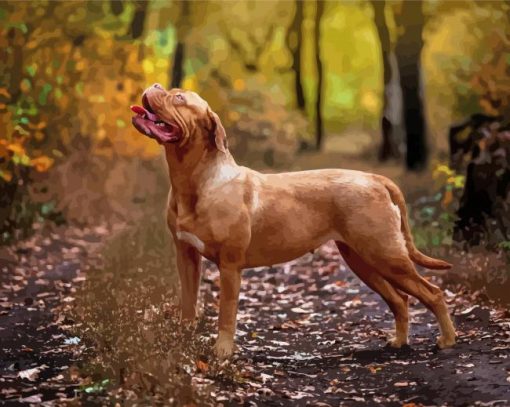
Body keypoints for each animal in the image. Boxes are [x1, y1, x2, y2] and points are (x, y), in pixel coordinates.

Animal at [129, 84, 456, 358]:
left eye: (179, 98)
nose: (155, 85)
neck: (195, 181)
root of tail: (376, 178)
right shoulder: (186, 256)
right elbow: (188, 302)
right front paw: (183, 339)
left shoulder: (230, 265)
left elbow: (226, 312)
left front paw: (222, 351)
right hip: (362, 259)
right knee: (399, 299)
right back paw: (399, 341)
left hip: (386, 254)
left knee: (433, 293)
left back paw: (447, 340)